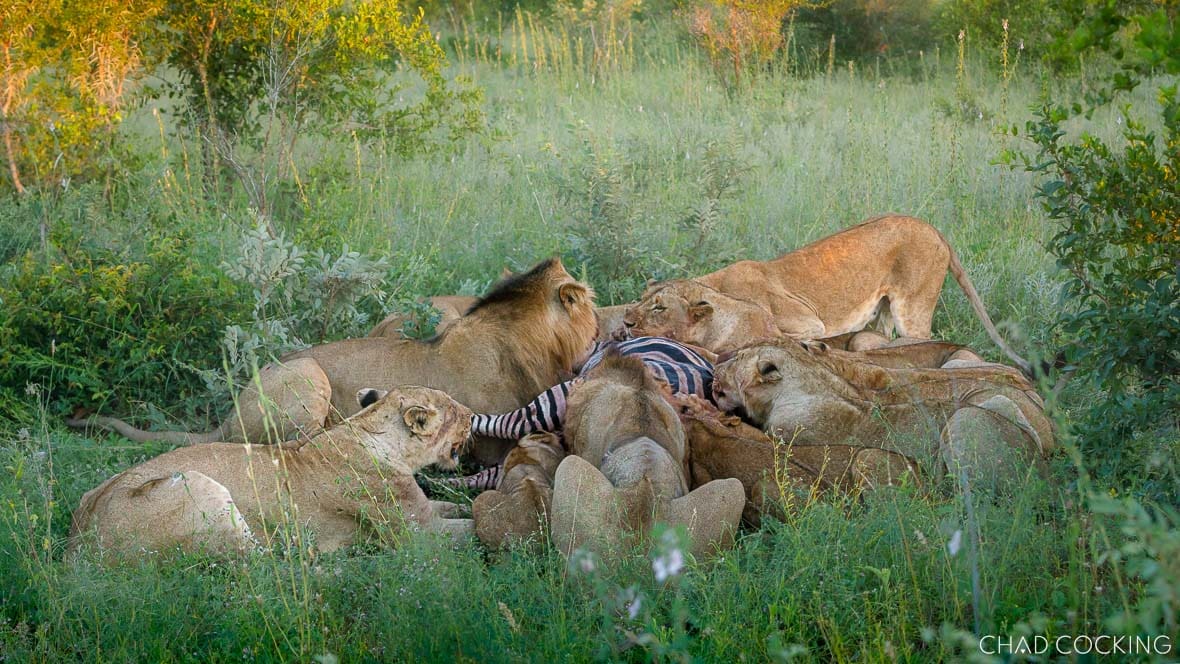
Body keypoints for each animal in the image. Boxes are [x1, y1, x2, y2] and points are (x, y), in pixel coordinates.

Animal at [69, 385, 475, 556]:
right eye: (455, 410)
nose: (473, 416)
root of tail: (78, 546)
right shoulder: (417, 534)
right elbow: (466, 529)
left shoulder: (423, 509)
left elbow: (458, 506)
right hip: (199, 488)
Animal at [622, 214, 1033, 374]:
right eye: (640, 300)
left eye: (658, 308)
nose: (625, 321)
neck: (715, 286)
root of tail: (931, 226)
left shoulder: (809, 322)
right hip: (885, 313)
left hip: (913, 311)